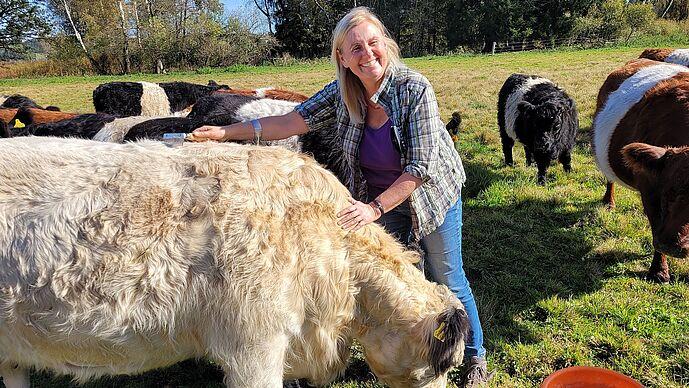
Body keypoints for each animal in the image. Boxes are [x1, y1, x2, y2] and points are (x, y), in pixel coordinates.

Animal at [592, 57, 688, 282]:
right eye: (666, 194)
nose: (672, 245)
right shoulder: (650, 190)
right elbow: (655, 227)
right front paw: (659, 272)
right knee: (609, 179)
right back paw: (608, 202)